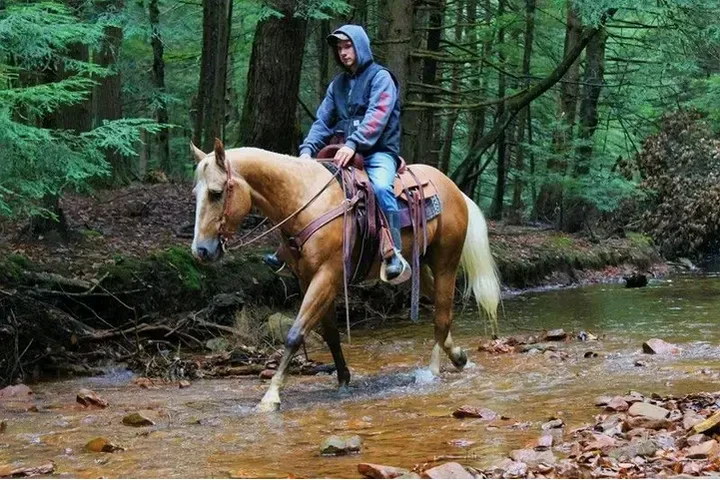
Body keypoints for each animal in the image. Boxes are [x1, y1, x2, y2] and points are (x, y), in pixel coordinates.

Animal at [190, 140, 500, 412]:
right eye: (196, 193)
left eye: (216, 193)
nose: (201, 250)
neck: (306, 200)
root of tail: (455, 190)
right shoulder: (308, 278)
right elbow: (329, 334)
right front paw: (343, 381)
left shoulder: (327, 276)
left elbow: (295, 334)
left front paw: (271, 397)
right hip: (419, 268)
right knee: (438, 305)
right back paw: (457, 356)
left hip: (445, 261)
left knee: (442, 315)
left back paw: (433, 371)